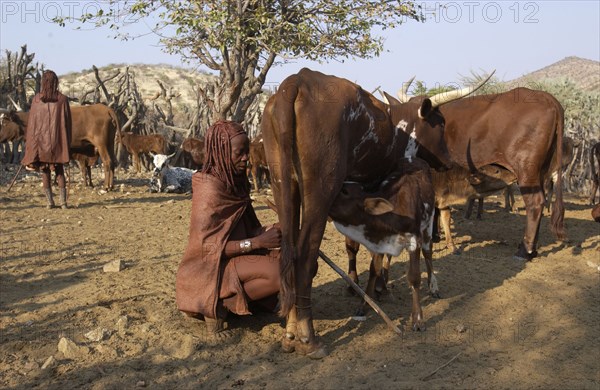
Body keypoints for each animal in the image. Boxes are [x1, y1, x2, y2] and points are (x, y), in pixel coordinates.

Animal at [328, 157, 436, 330]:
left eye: (344, 192)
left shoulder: (414, 240)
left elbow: (414, 277)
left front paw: (418, 319)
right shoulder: (379, 244)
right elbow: (374, 270)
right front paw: (364, 304)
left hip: (429, 222)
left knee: (428, 250)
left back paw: (433, 286)